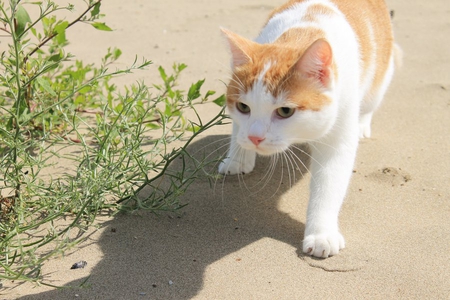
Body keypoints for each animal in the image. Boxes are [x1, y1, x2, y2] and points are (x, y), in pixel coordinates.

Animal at [218, 0, 400, 258]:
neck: (302, 30)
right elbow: (237, 128)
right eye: (243, 107)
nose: (255, 137)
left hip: (379, 77)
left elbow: (329, 184)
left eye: (285, 111)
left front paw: (322, 233)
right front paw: (238, 156)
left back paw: (363, 124)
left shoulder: (340, 128)